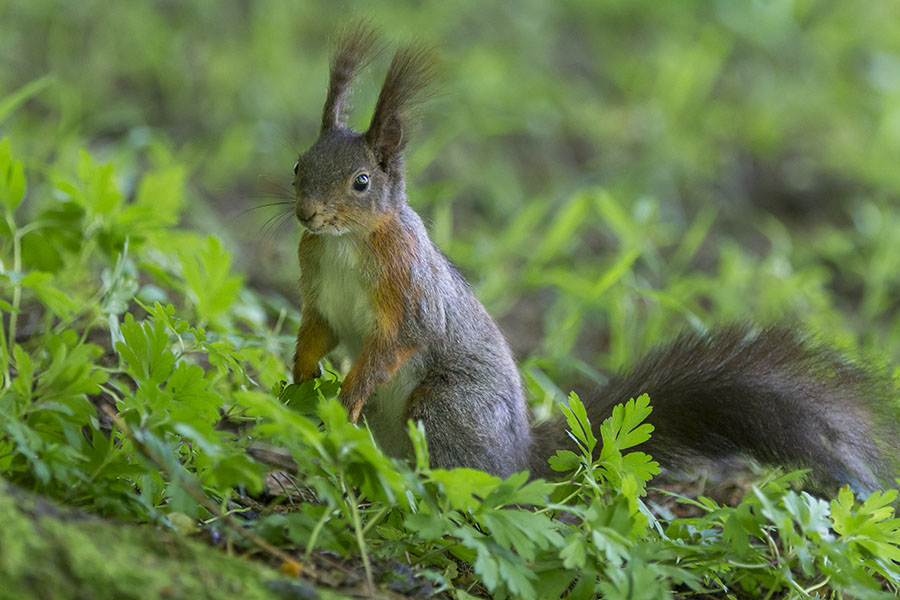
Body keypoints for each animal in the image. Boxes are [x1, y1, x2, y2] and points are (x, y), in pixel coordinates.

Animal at [292, 24, 896, 496]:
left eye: (361, 182)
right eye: (299, 164)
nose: (306, 214)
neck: (347, 240)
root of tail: (521, 459)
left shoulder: (409, 289)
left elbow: (398, 340)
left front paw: (348, 392)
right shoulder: (319, 289)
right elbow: (320, 329)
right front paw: (299, 377)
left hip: (447, 408)